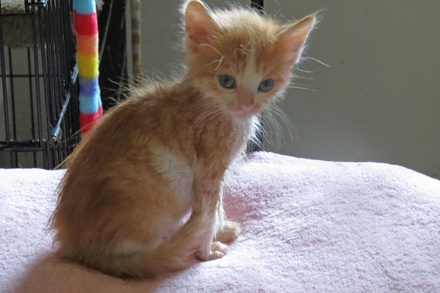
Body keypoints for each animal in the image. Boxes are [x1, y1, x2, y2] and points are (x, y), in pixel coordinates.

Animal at [52, 0, 316, 278]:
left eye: (266, 85)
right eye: (226, 81)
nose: (246, 106)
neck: (211, 104)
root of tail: (83, 253)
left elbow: (216, 207)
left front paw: (220, 230)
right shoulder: (208, 167)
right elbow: (207, 211)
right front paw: (206, 251)